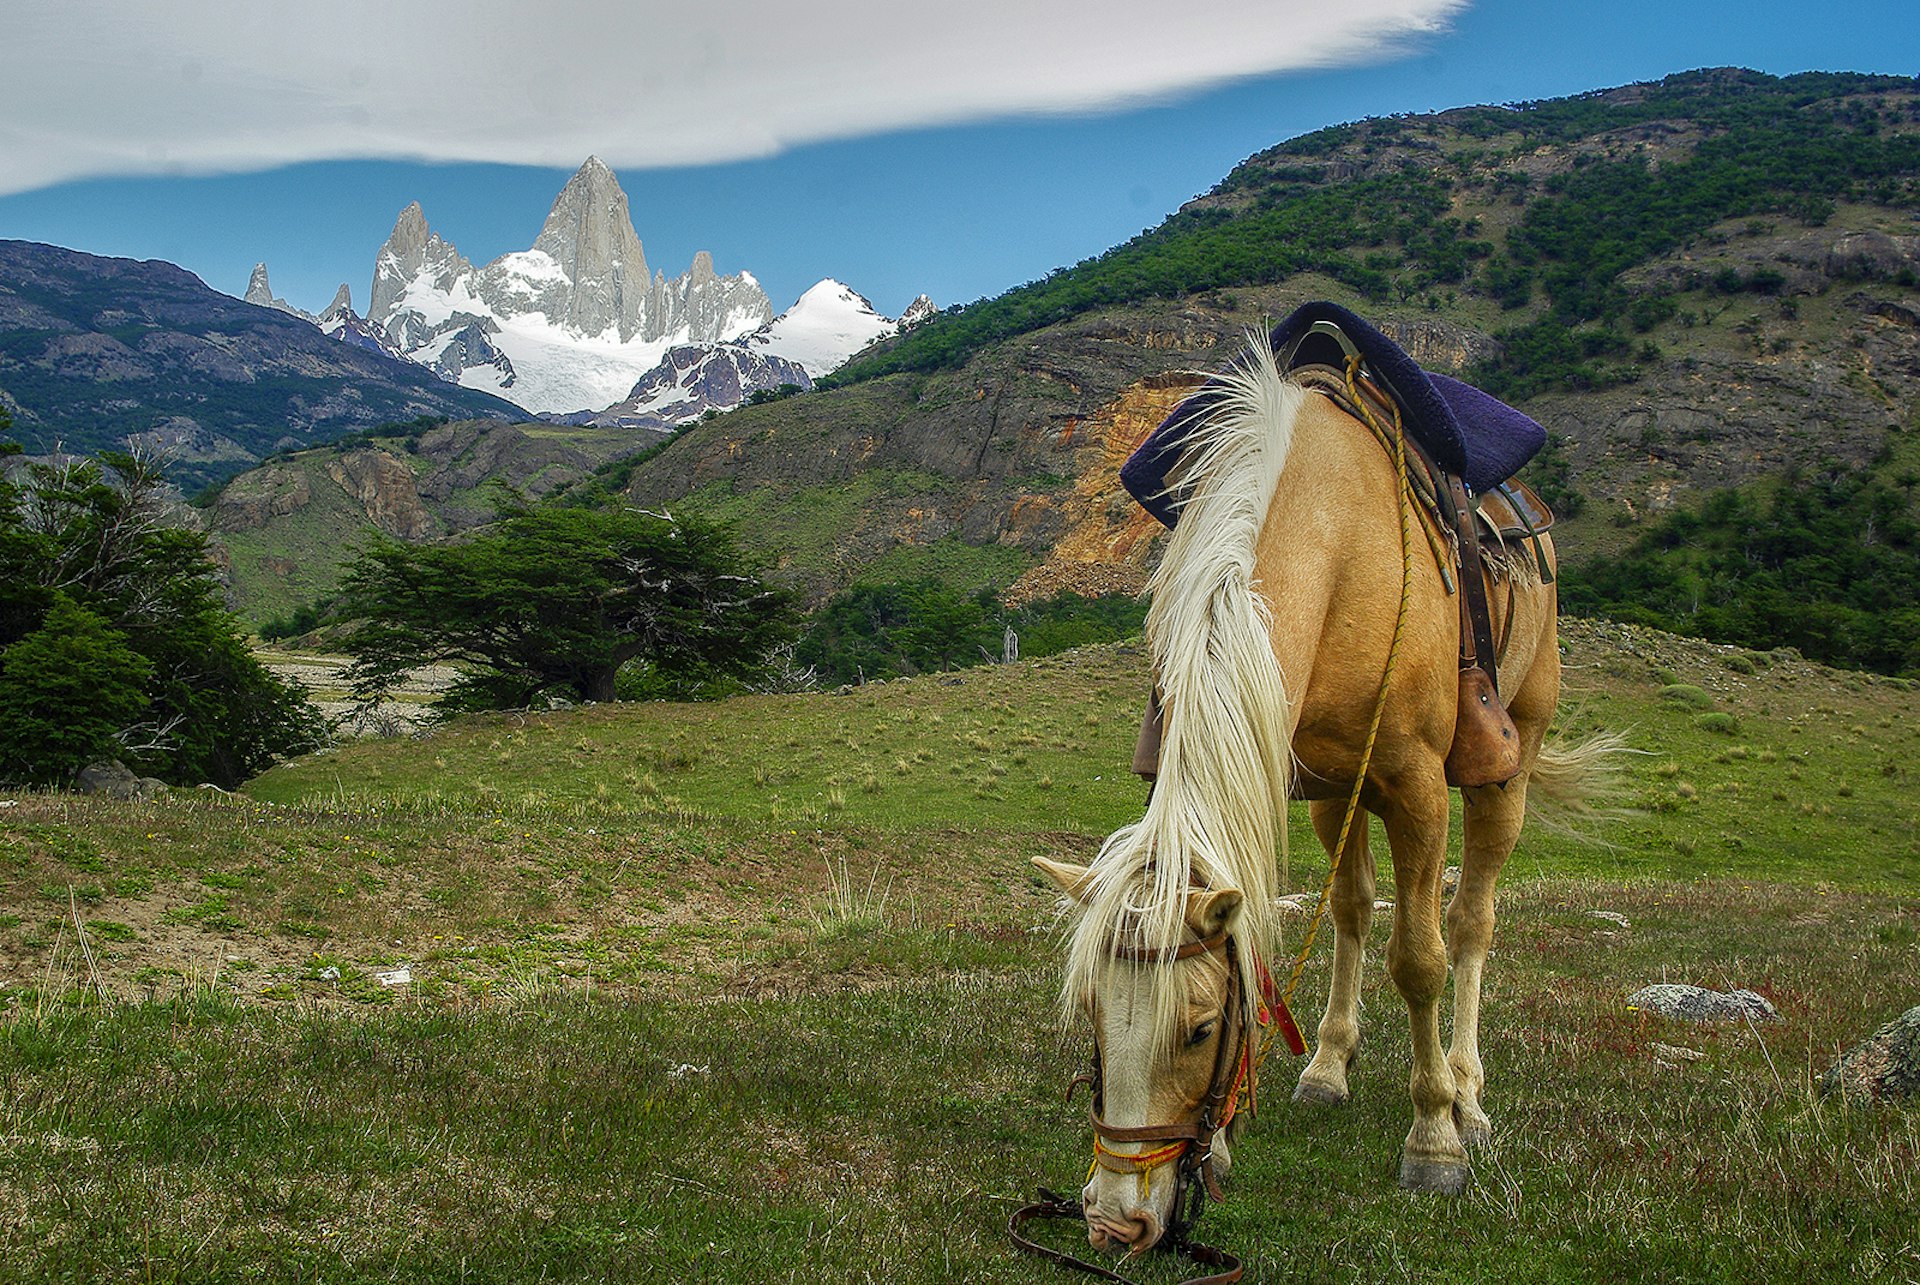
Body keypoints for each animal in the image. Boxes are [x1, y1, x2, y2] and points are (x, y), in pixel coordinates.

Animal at [1036, 322, 1605, 1252]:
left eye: (1199, 1028)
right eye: (1090, 1010)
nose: (1117, 1220)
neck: (1336, 540)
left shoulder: (1415, 783)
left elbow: (1420, 958)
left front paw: (1434, 1139)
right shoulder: (1305, 770)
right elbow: (1319, 924)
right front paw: (1240, 1130)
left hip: (1508, 763)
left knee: (1471, 920)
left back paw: (1468, 1091)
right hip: (1346, 791)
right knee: (1352, 908)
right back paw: (1331, 1063)